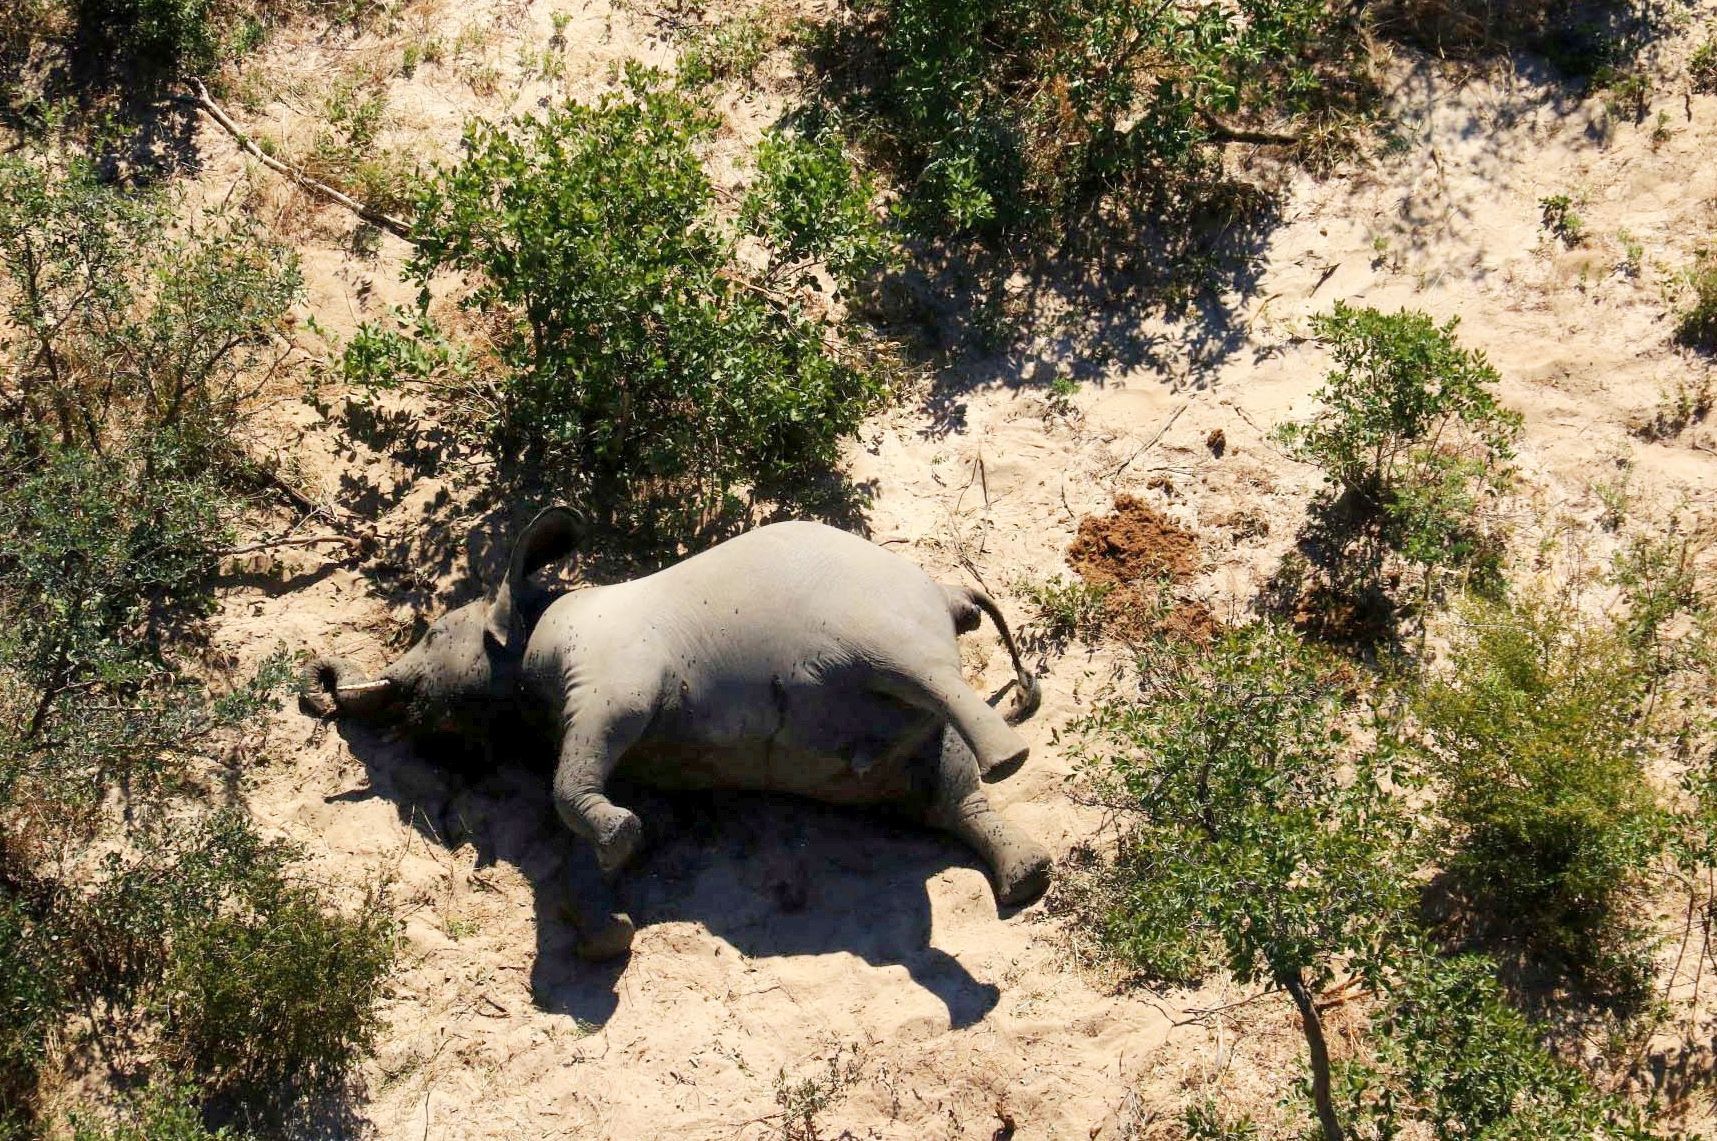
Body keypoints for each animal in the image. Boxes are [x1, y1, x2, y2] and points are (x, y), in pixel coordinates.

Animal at [309, 504, 1050, 953]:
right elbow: (579, 812)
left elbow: (575, 774)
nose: (317, 681)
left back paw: (1009, 761)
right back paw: (1028, 880)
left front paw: (620, 844)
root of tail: (950, 595)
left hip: (882, 627)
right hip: (901, 743)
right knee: (948, 794)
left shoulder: (612, 674)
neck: (536, 616)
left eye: (434, 633)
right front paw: (608, 929)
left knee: (931, 683)